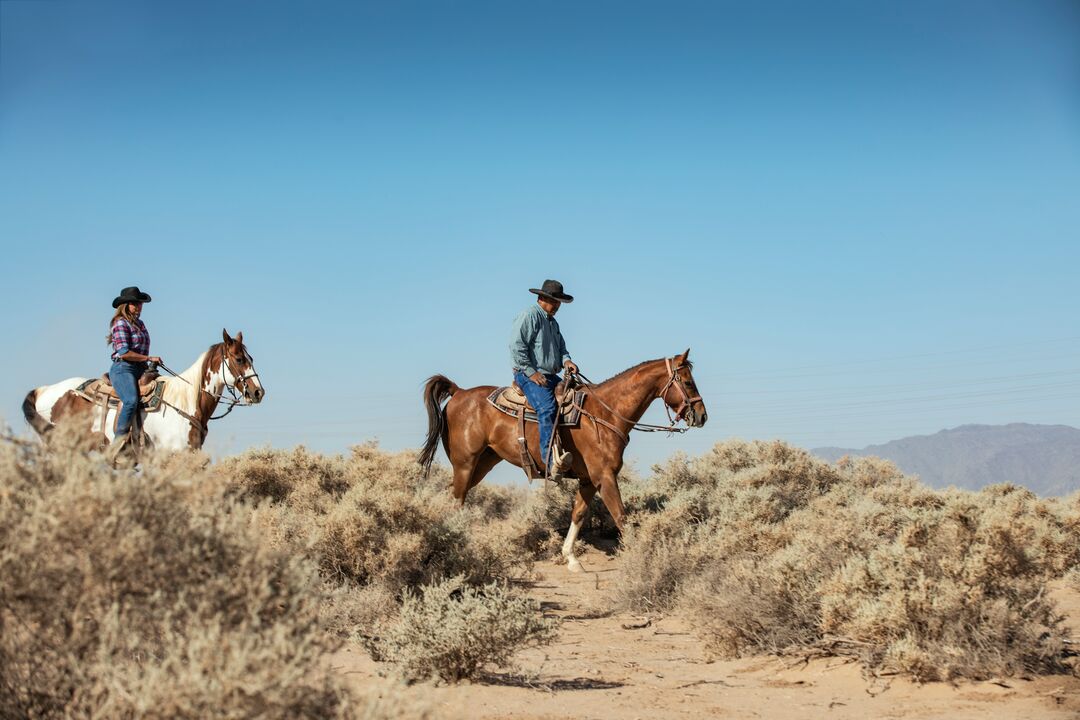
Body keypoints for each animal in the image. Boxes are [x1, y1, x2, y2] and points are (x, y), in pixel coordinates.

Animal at [419, 351, 708, 569]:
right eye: (688, 382)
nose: (702, 415)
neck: (604, 413)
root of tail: (459, 392)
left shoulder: (589, 479)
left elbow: (578, 513)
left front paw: (570, 558)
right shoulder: (605, 477)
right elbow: (621, 517)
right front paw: (641, 558)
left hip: (483, 463)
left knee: (455, 496)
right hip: (465, 464)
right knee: (457, 500)